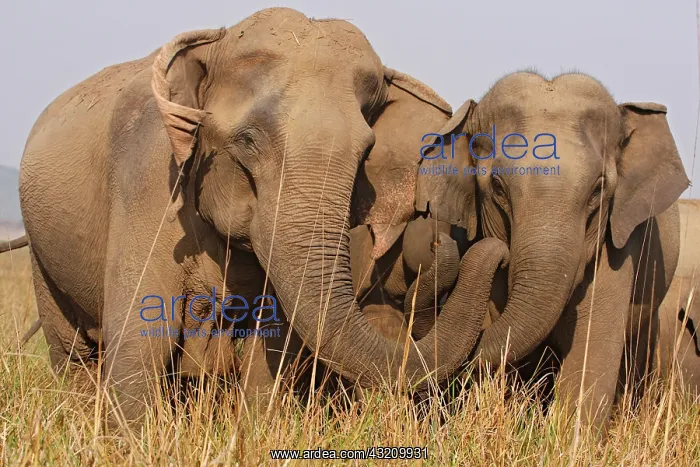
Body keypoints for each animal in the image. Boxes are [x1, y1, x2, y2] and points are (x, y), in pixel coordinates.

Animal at [16, 7, 506, 425]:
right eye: (248, 141)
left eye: (365, 152)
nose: (492, 248)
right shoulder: (148, 174)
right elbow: (143, 336)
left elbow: (271, 343)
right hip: (40, 247)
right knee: (73, 350)